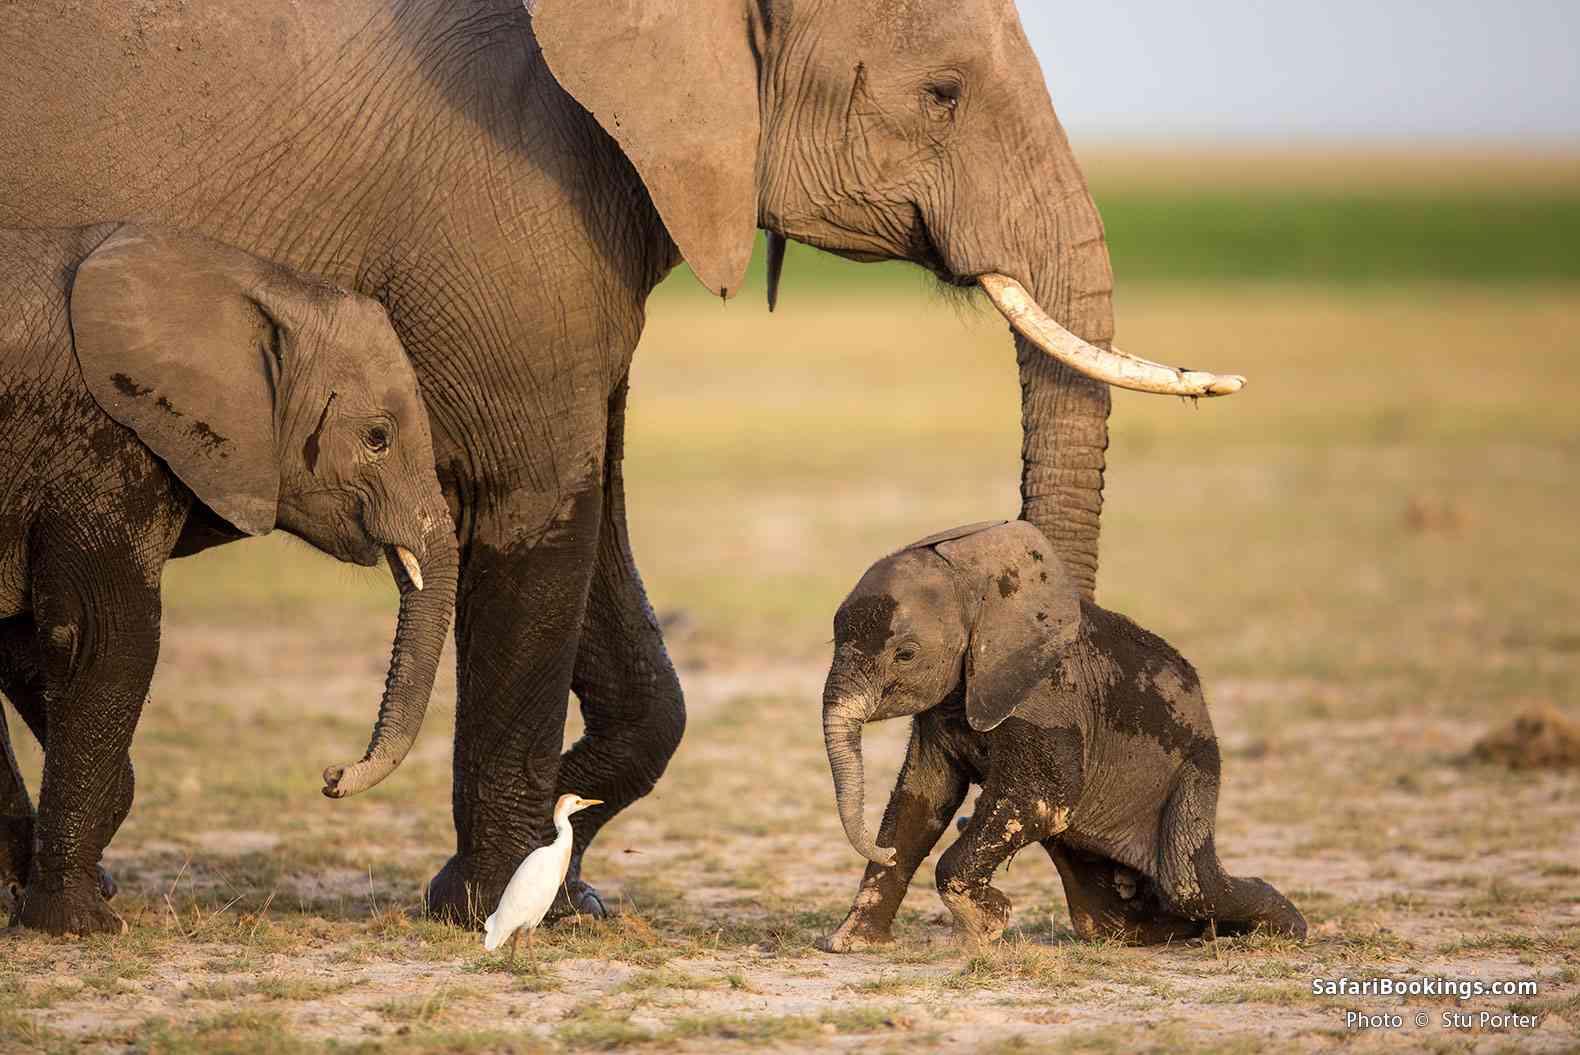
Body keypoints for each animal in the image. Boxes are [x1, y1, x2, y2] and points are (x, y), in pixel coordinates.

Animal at [0, 224, 458, 935]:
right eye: (378, 437)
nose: (331, 775)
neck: (245, 282)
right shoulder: (105, 440)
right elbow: (101, 636)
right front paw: (80, 923)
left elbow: (27, 641)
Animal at [818, 521, 1306, 951]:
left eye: (905, 654)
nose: (879, 851)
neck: (980, 583)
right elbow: (921, 799)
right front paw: (850, 943)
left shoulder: (1048, 696)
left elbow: (1041, 798)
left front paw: (984, 929)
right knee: (1106, 921)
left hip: (1197, 772)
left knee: (1188, 885)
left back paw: (1281, 931)